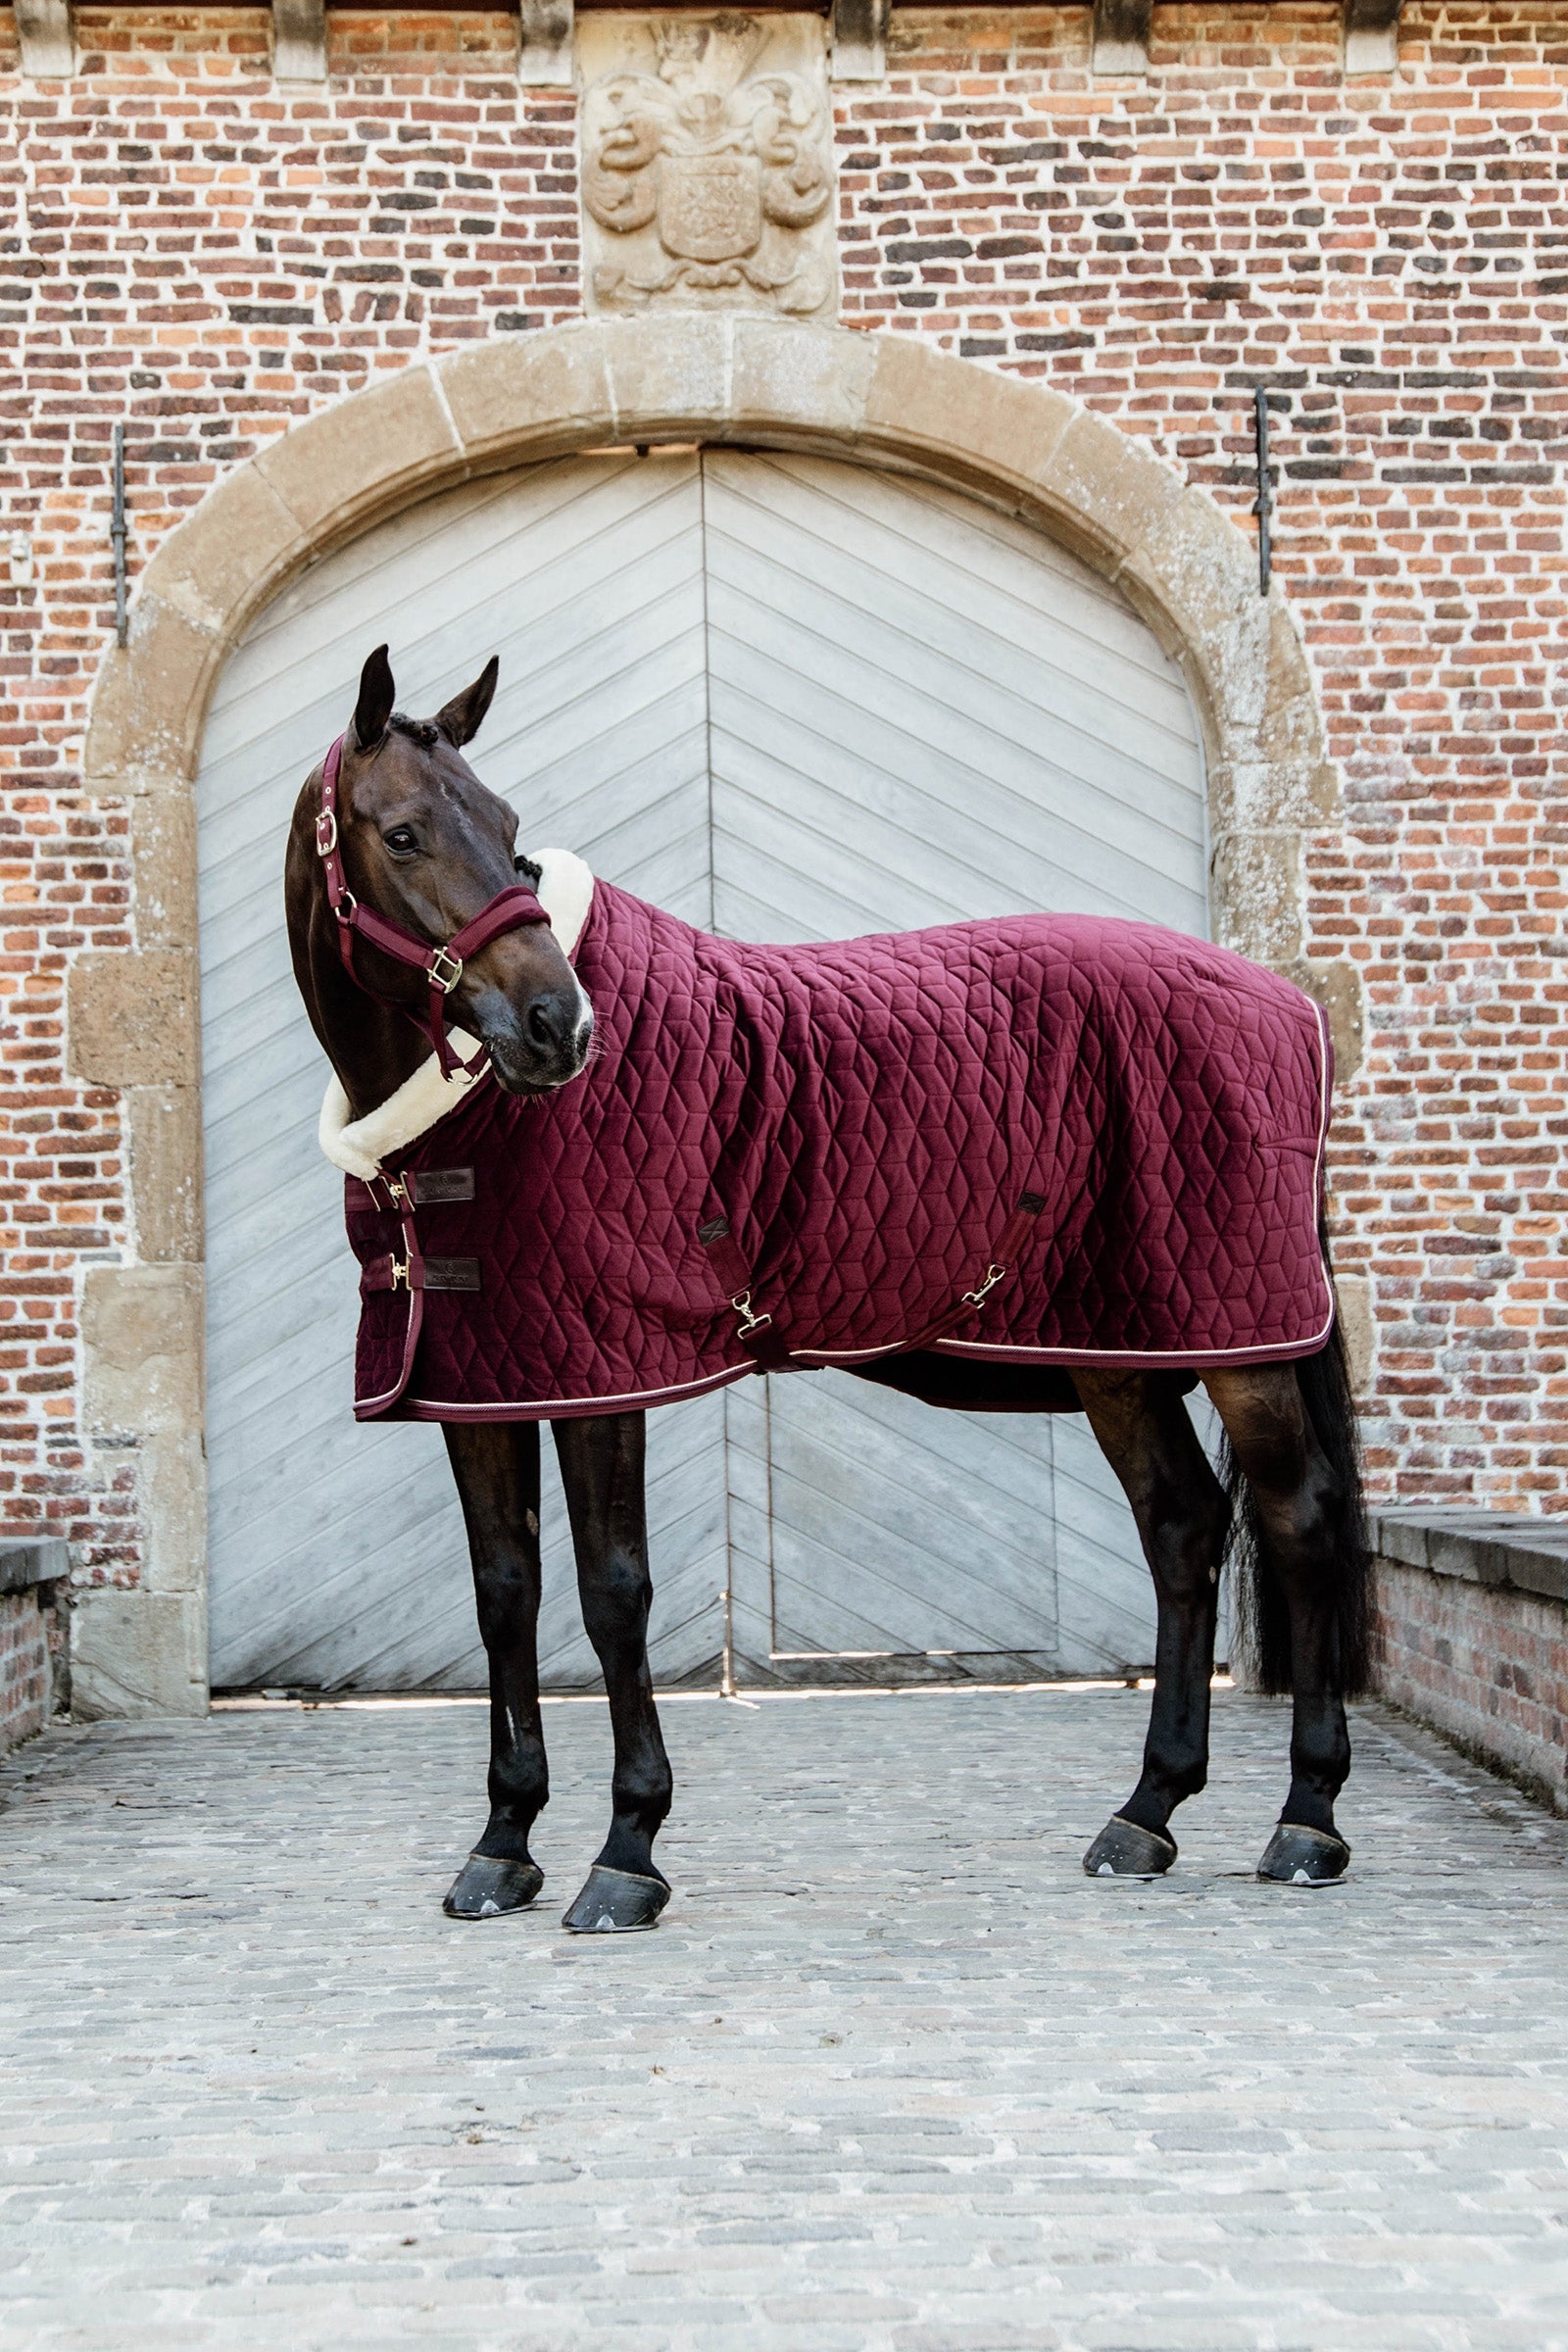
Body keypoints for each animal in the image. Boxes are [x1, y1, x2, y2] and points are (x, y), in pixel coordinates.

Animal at [283, 643, 1370, 1935]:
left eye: (508, 828)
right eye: (401, 834)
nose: (560, 1027)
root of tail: (1286, 1000)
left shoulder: (603, 1376)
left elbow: (610, 1594)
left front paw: (627, 1854)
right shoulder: (483, 1380)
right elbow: (505, 1593)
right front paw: (501, 1846)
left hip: (1240, 1341)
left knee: (1299, 1521)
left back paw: (1305, 1822)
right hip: (1120, 1348)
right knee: (1182, 1527)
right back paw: (1145, 1814)